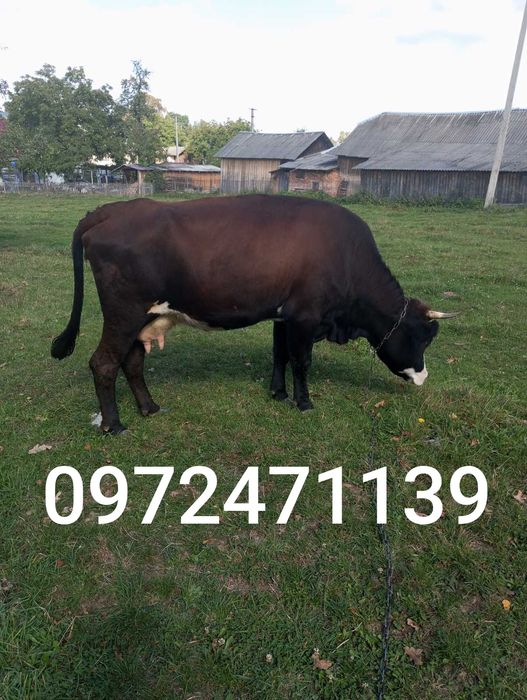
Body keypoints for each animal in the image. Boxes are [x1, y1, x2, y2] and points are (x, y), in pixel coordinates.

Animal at [51, 195, 457, 434]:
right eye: (423, 338)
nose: (423, 378)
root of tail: (113, 209)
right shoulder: (305, 316)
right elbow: (301, 361)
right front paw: (304, 402)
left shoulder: (283, 315)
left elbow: (280, 354)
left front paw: (278, 393)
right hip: (124, 313)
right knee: (104, 363)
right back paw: (114, 424)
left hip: (142, 318)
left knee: (132, 361)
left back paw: (150, 408)